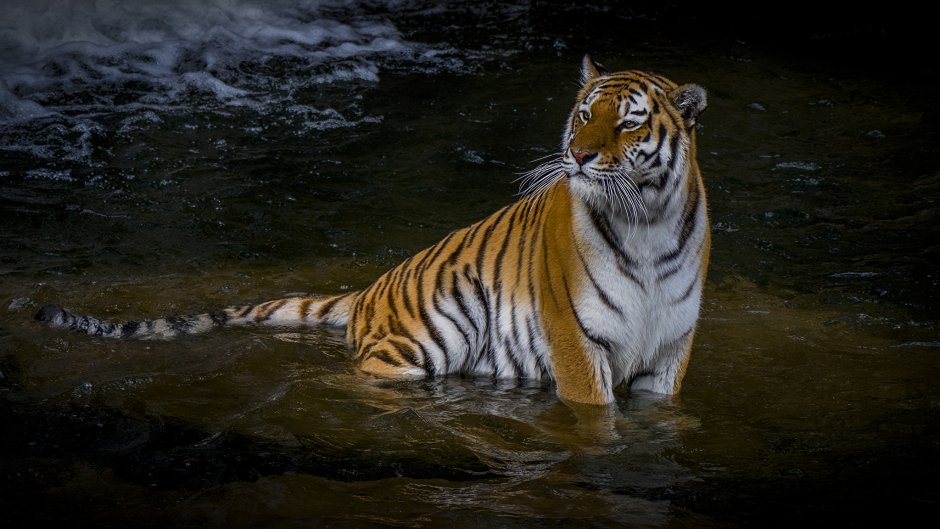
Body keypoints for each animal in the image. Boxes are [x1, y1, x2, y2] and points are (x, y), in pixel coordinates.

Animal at [35, 55, 710, 406]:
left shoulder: (670, 349)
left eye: (627, 123)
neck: (646, 223)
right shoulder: (575, 341)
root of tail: (368, 289)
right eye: (583, 113)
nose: (577, 154)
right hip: (431, 340)